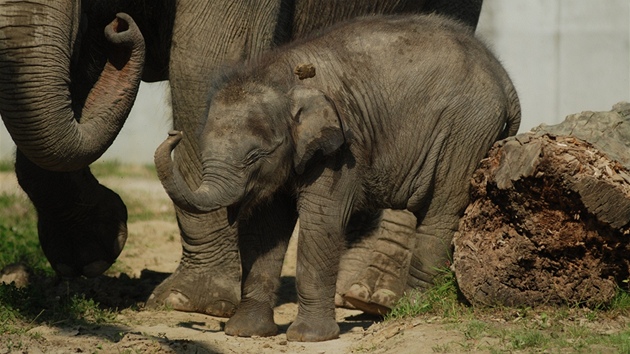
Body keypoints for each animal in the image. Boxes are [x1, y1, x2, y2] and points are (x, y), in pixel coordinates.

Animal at [0, 0, 484, 316]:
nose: (119, 24)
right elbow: (72, 57)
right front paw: (91, 256)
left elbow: (202, 59)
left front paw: (191, 303)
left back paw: (370, 296)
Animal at [156, 14, 520, 342]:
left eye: (254, 156)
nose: (173, 134)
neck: (282, 75)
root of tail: (504, 76)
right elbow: (265, 227)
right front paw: (246, 333)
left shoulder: (341, 149)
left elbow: (322, 221)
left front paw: (308, 338)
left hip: (465, 131)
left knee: (439, 215)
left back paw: (412, 309)